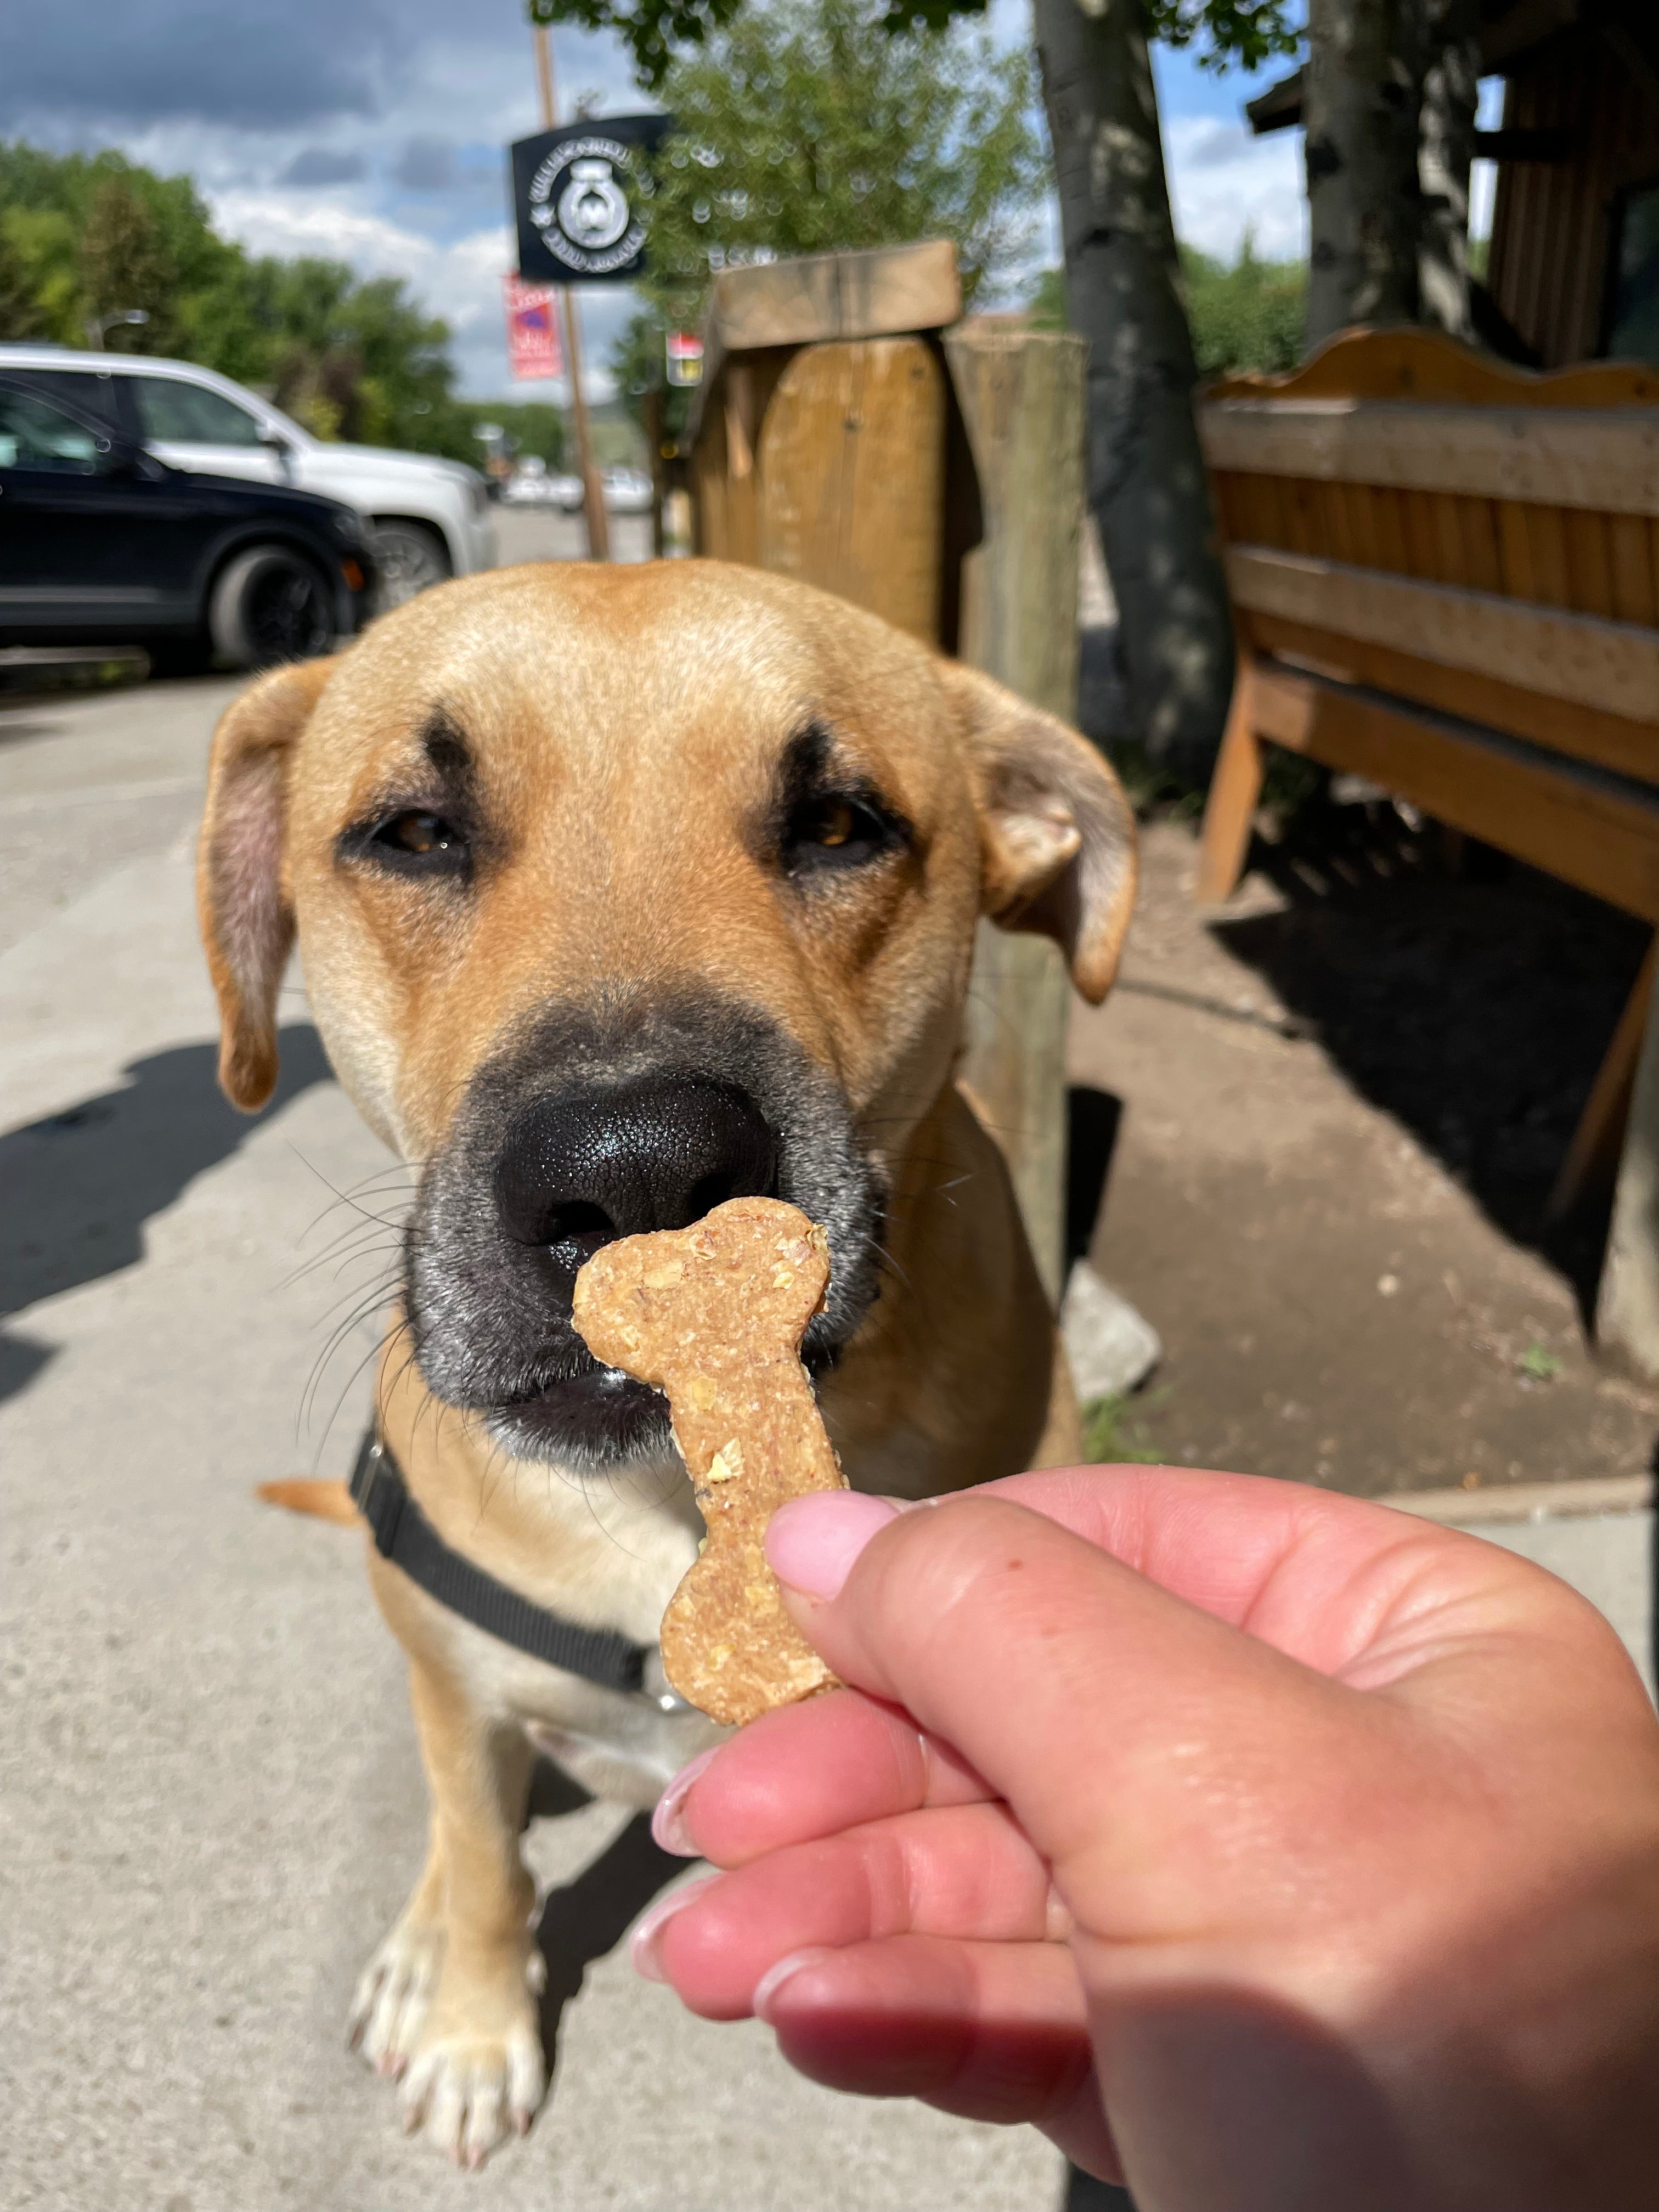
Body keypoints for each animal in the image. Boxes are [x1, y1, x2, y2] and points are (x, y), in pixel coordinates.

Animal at [191, 562, 1132, 2168]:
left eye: (842, 823)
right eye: (414, 832)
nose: (636, 1171)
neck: (679, 1486)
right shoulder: (458, 1688)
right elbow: (483, 1865)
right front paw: (474, 2024)